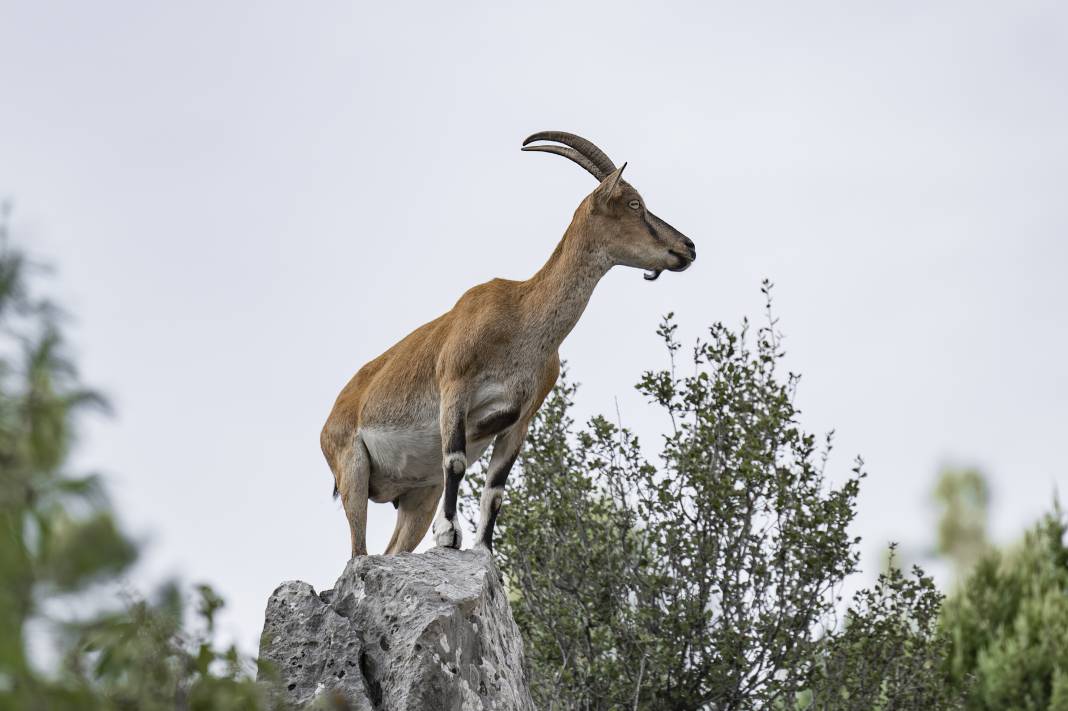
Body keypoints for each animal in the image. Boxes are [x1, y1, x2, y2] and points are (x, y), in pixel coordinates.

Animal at [320, 131, 696, 555]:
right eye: (634, 203)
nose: (687, 247)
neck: (521, 319)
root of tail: (333, 414)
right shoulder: (455, 387)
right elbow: (455, 460)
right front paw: (449, 535)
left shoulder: (520, 418)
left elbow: (495, 491)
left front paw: (483, 548)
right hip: (352, 468)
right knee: (358, 552)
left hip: (419, 493)